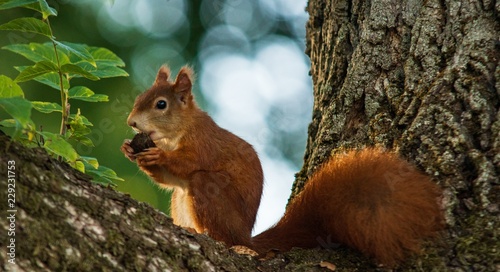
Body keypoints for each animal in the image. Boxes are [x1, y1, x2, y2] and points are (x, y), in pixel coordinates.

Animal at [121, 65, 446, 266]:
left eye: (161, 104)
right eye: (138, 98)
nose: (131, 122)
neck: (177, 132)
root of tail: (246, 237)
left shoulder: (203, 143)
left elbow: (187, 164)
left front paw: (156, 157)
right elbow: (169, 180)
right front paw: (130, 149)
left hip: (209, 192)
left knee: (212, 207)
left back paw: (215, 238)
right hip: (182, 201)